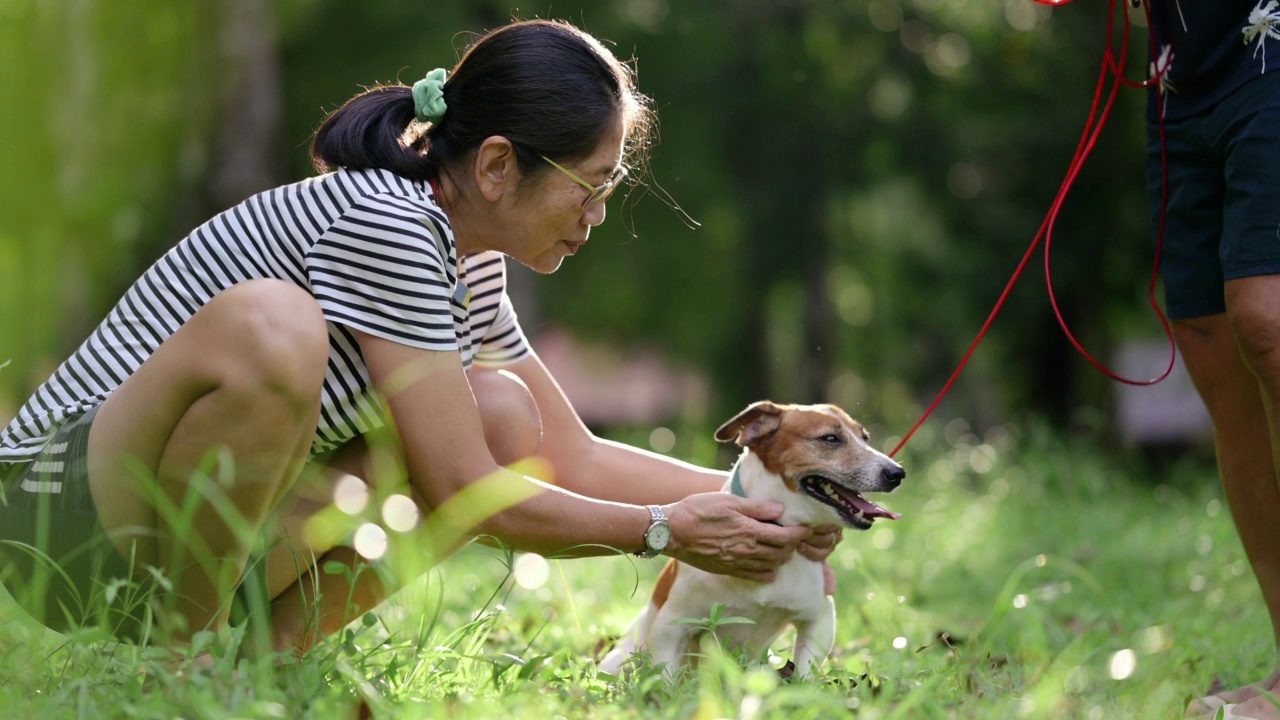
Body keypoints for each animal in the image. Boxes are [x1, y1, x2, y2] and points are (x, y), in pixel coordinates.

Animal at [596, 399, 906, 676]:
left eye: (865, 437)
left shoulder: (819, 622)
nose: (897, 473)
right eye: (830, 438)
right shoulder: (670, 628)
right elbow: (666, 680)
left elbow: (804, 675)